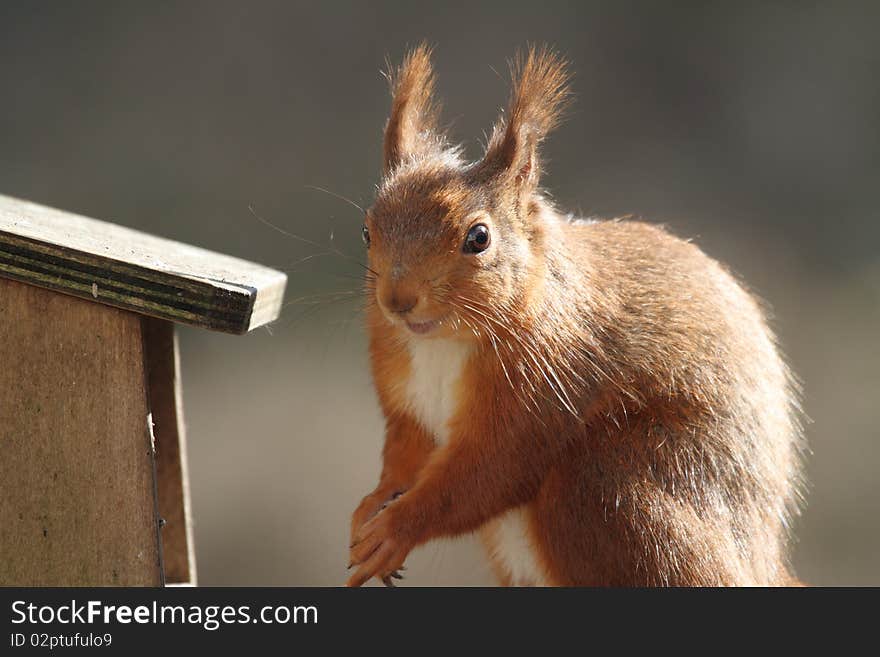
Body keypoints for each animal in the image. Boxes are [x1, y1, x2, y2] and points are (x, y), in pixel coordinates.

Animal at [346, 47, 804, 588]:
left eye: (479, 237)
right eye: (367, 231)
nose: (398, 300)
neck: (442, 344)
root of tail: (759, 557)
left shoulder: (546, 386)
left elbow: (486, 475)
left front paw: (395, 528)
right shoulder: (407, 401)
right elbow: (404, 455)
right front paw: (372, 507)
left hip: (619, 486)